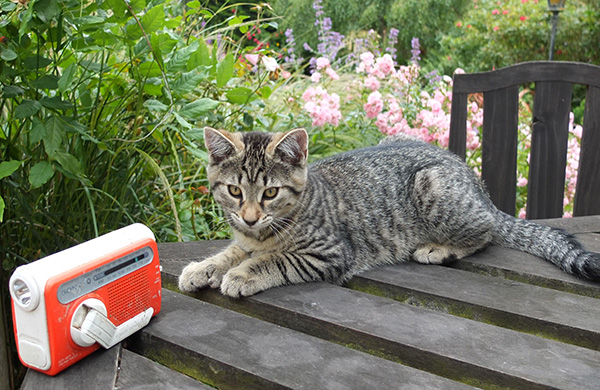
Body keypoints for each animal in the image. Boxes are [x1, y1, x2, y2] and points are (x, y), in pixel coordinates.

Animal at [178, 126, 600, 298]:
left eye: (270, 193)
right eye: (234, 191)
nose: (249, 216)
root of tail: (478, 186)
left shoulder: (328, 253)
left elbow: (276, 259)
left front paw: (243, 274)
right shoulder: (244, 239)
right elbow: (228, 253)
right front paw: (203, 267)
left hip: (432, 187)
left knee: (485, 232)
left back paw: (439, 248)